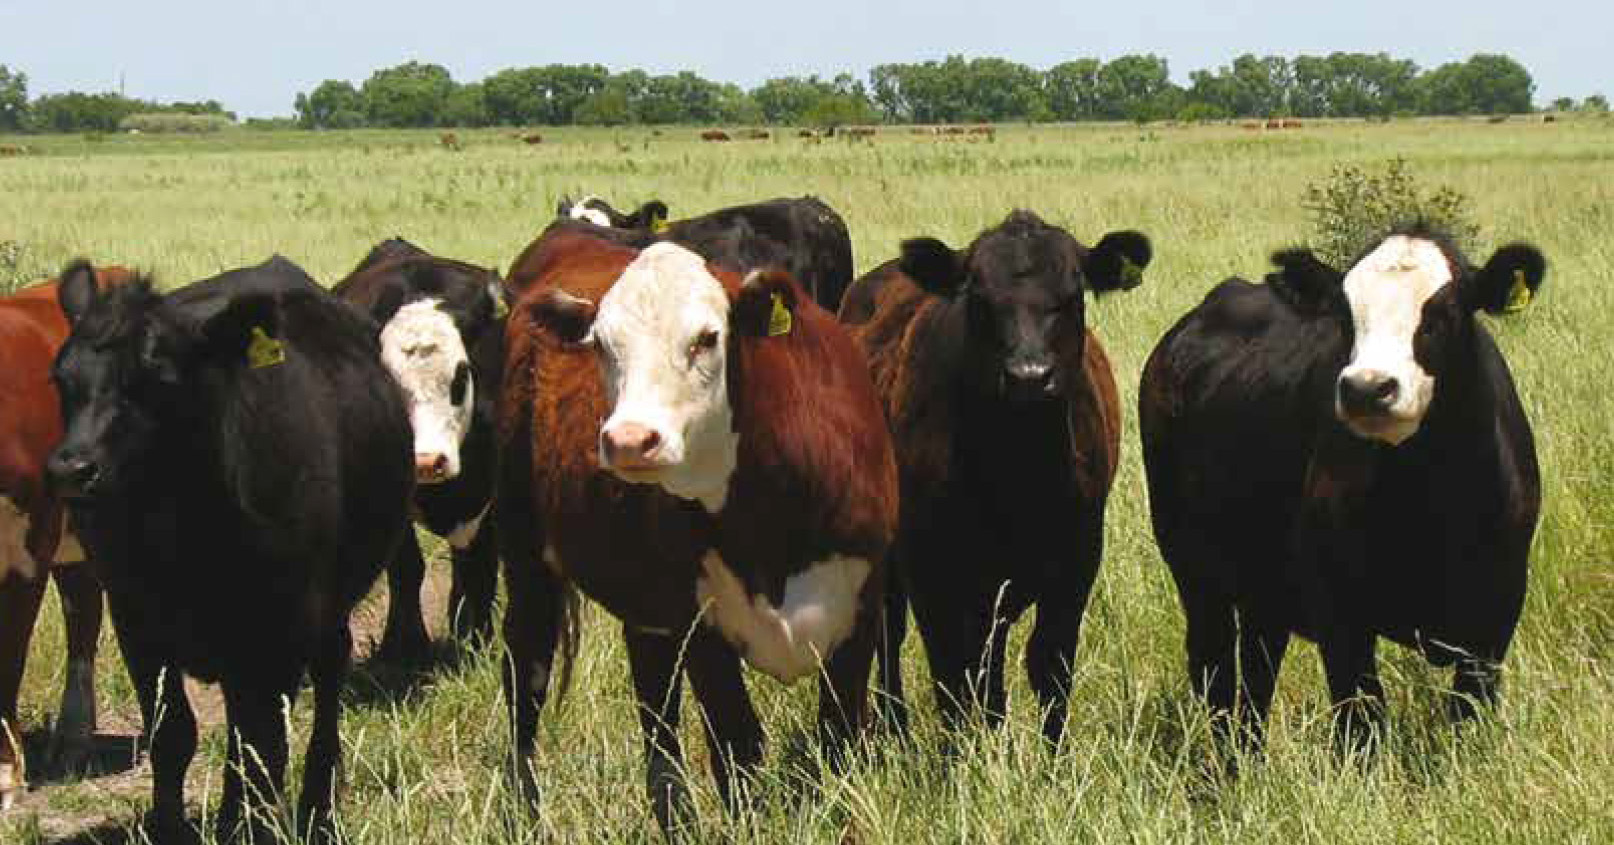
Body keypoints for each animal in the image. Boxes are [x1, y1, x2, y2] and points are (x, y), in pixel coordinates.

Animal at [46, 256, 414, 841]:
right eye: (62, 380)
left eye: (157, 381)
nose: (72, 469)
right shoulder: (137, 621)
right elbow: (174, 734)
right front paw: (171, 827)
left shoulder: (276, 632)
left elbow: (260, 747)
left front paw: (251, 827)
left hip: (326, 611)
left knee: (326, 686)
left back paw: (318, 809)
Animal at [333, 238, 506, 657]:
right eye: (388, 384)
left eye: (461, 375)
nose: (427, 461)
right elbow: (407, 567)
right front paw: (404, 643)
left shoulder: (487, 494)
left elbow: (479, 567)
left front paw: (477, 641)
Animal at [499, 234, 897, 833]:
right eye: (603, 346)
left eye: (707, 339)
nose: (629, 440)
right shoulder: (701, 626)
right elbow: (737, 746)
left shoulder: (863, 605)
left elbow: (840, 736)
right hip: (525, 558)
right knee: (526, 673)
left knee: (655, 706)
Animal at [839, 210, 1150, 745]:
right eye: (978, 296)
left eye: (1073, 292)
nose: (1029, 375)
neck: (1018, 471)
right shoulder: (930, 567)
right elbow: (949, 673)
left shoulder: (1078, 558)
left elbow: (1048, 666)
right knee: (890, 631)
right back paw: (896, 724)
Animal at [1139, 224, 1546, 752]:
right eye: (1345, 316)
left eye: (1444, 312)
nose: (1367, 388)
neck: (1432, 506)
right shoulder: (1340, 616)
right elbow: (1362, 726)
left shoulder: (1495, 614)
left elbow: (1468, 719)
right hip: (1194, 568)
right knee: (1216, 674)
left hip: (1265, 586)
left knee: (1256, 674)